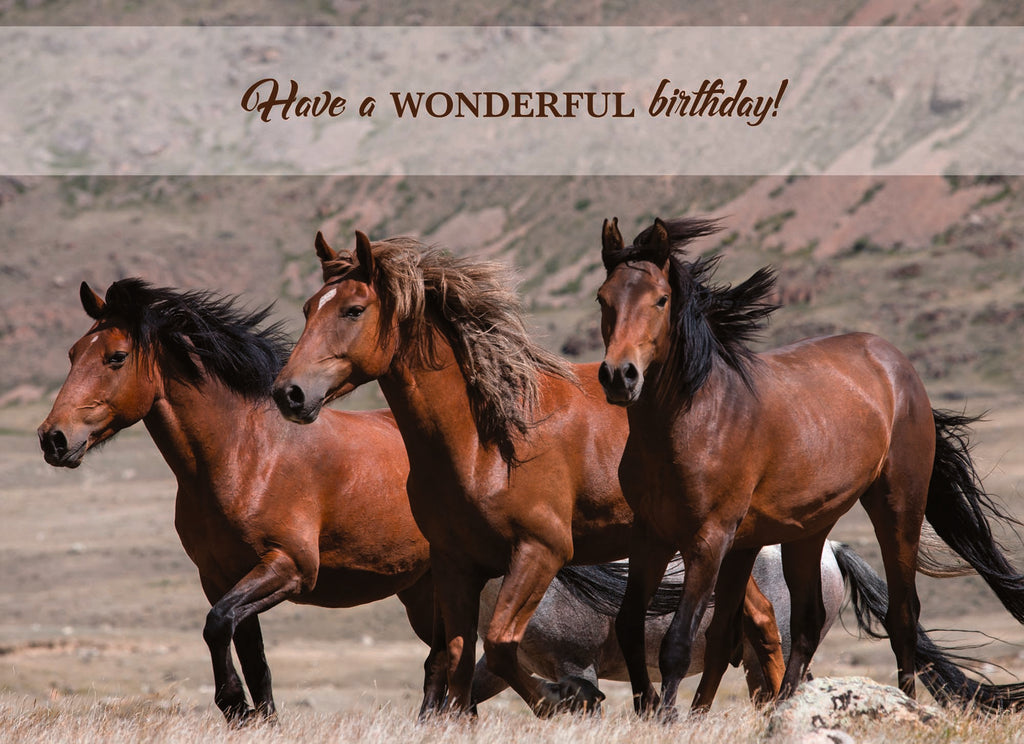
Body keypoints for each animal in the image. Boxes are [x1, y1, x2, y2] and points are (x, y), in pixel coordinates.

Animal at [36, 279, 436, 724]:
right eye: (73, 353)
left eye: (116, 357)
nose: (53, 439)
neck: (246, 455)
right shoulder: (220, 577)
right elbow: (251, 656)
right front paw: (257, 718)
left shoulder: (289, 566)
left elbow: (217, 625)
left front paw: (232, 702)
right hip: (420, 588)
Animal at [271, 231, 789, 716]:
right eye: (307, 308)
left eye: (354, 310)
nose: (288, 393)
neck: (486, 442)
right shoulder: (455, 563)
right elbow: (456, 659)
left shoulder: (541, 551)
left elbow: (501, 647)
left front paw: (568, 698)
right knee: (752, 620)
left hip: (702, 539)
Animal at [596, 216, 1024, 717]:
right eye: (603, 298)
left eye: (661, 299)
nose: (619, 376)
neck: (696, 416)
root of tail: (898, 365)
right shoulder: (653, 536)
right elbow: (635, 625)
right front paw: (655, 710)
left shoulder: (707, 540)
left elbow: (678, 643)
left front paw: (667, 718)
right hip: (805, 531)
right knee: (803, 622)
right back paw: (787, 704)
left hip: (898, 510)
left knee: (902, 616)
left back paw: (904, 702)